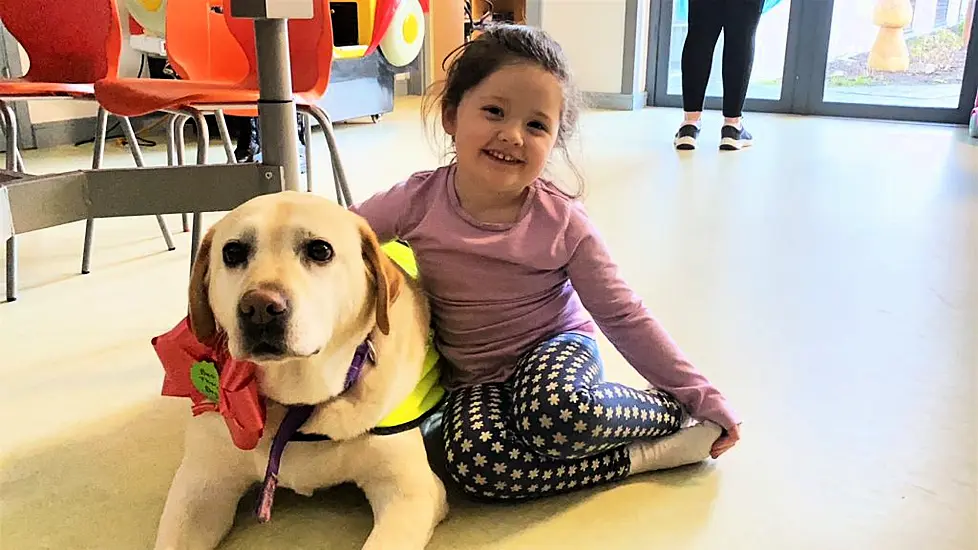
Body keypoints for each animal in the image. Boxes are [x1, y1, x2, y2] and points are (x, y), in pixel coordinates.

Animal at [154, 192, 448, 548]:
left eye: (320, 250)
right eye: (233, 252)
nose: (260, 308)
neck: (297, 405)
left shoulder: (410, 490)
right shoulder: (200, 488)